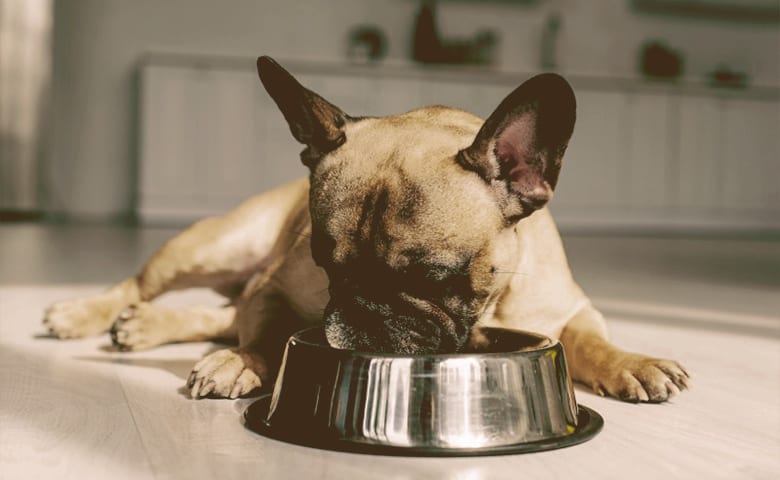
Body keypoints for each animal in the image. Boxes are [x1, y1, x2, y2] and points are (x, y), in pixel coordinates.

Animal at [42, 55, 688, 402]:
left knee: (216, 313)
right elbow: (267, 333)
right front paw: (243, 362)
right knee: (144, 285)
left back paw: (144, 326)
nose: (365, 317)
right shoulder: (275, 288)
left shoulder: (571, 309)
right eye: (328, 267)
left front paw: (633, 362)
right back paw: (83, 313)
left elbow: (592, 339)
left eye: (435, 277)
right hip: (214, 245)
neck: (486, 306)